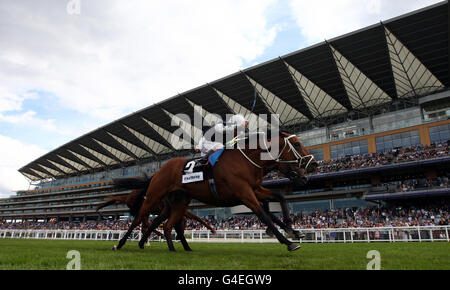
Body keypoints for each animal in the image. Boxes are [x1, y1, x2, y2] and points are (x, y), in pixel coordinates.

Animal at [114, 131, 314, 251]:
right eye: (296, 144)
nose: (313, 165)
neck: (247, 161)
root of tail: (159, 170)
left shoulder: (255, 189)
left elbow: (279, 198)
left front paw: (293, 230)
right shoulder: (244, 193)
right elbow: (264, 214)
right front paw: (289, 242)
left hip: (178, 202)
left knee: (167, 224)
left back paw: (176, 248)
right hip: (154, 196)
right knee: (139, 219)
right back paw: (120, 244)